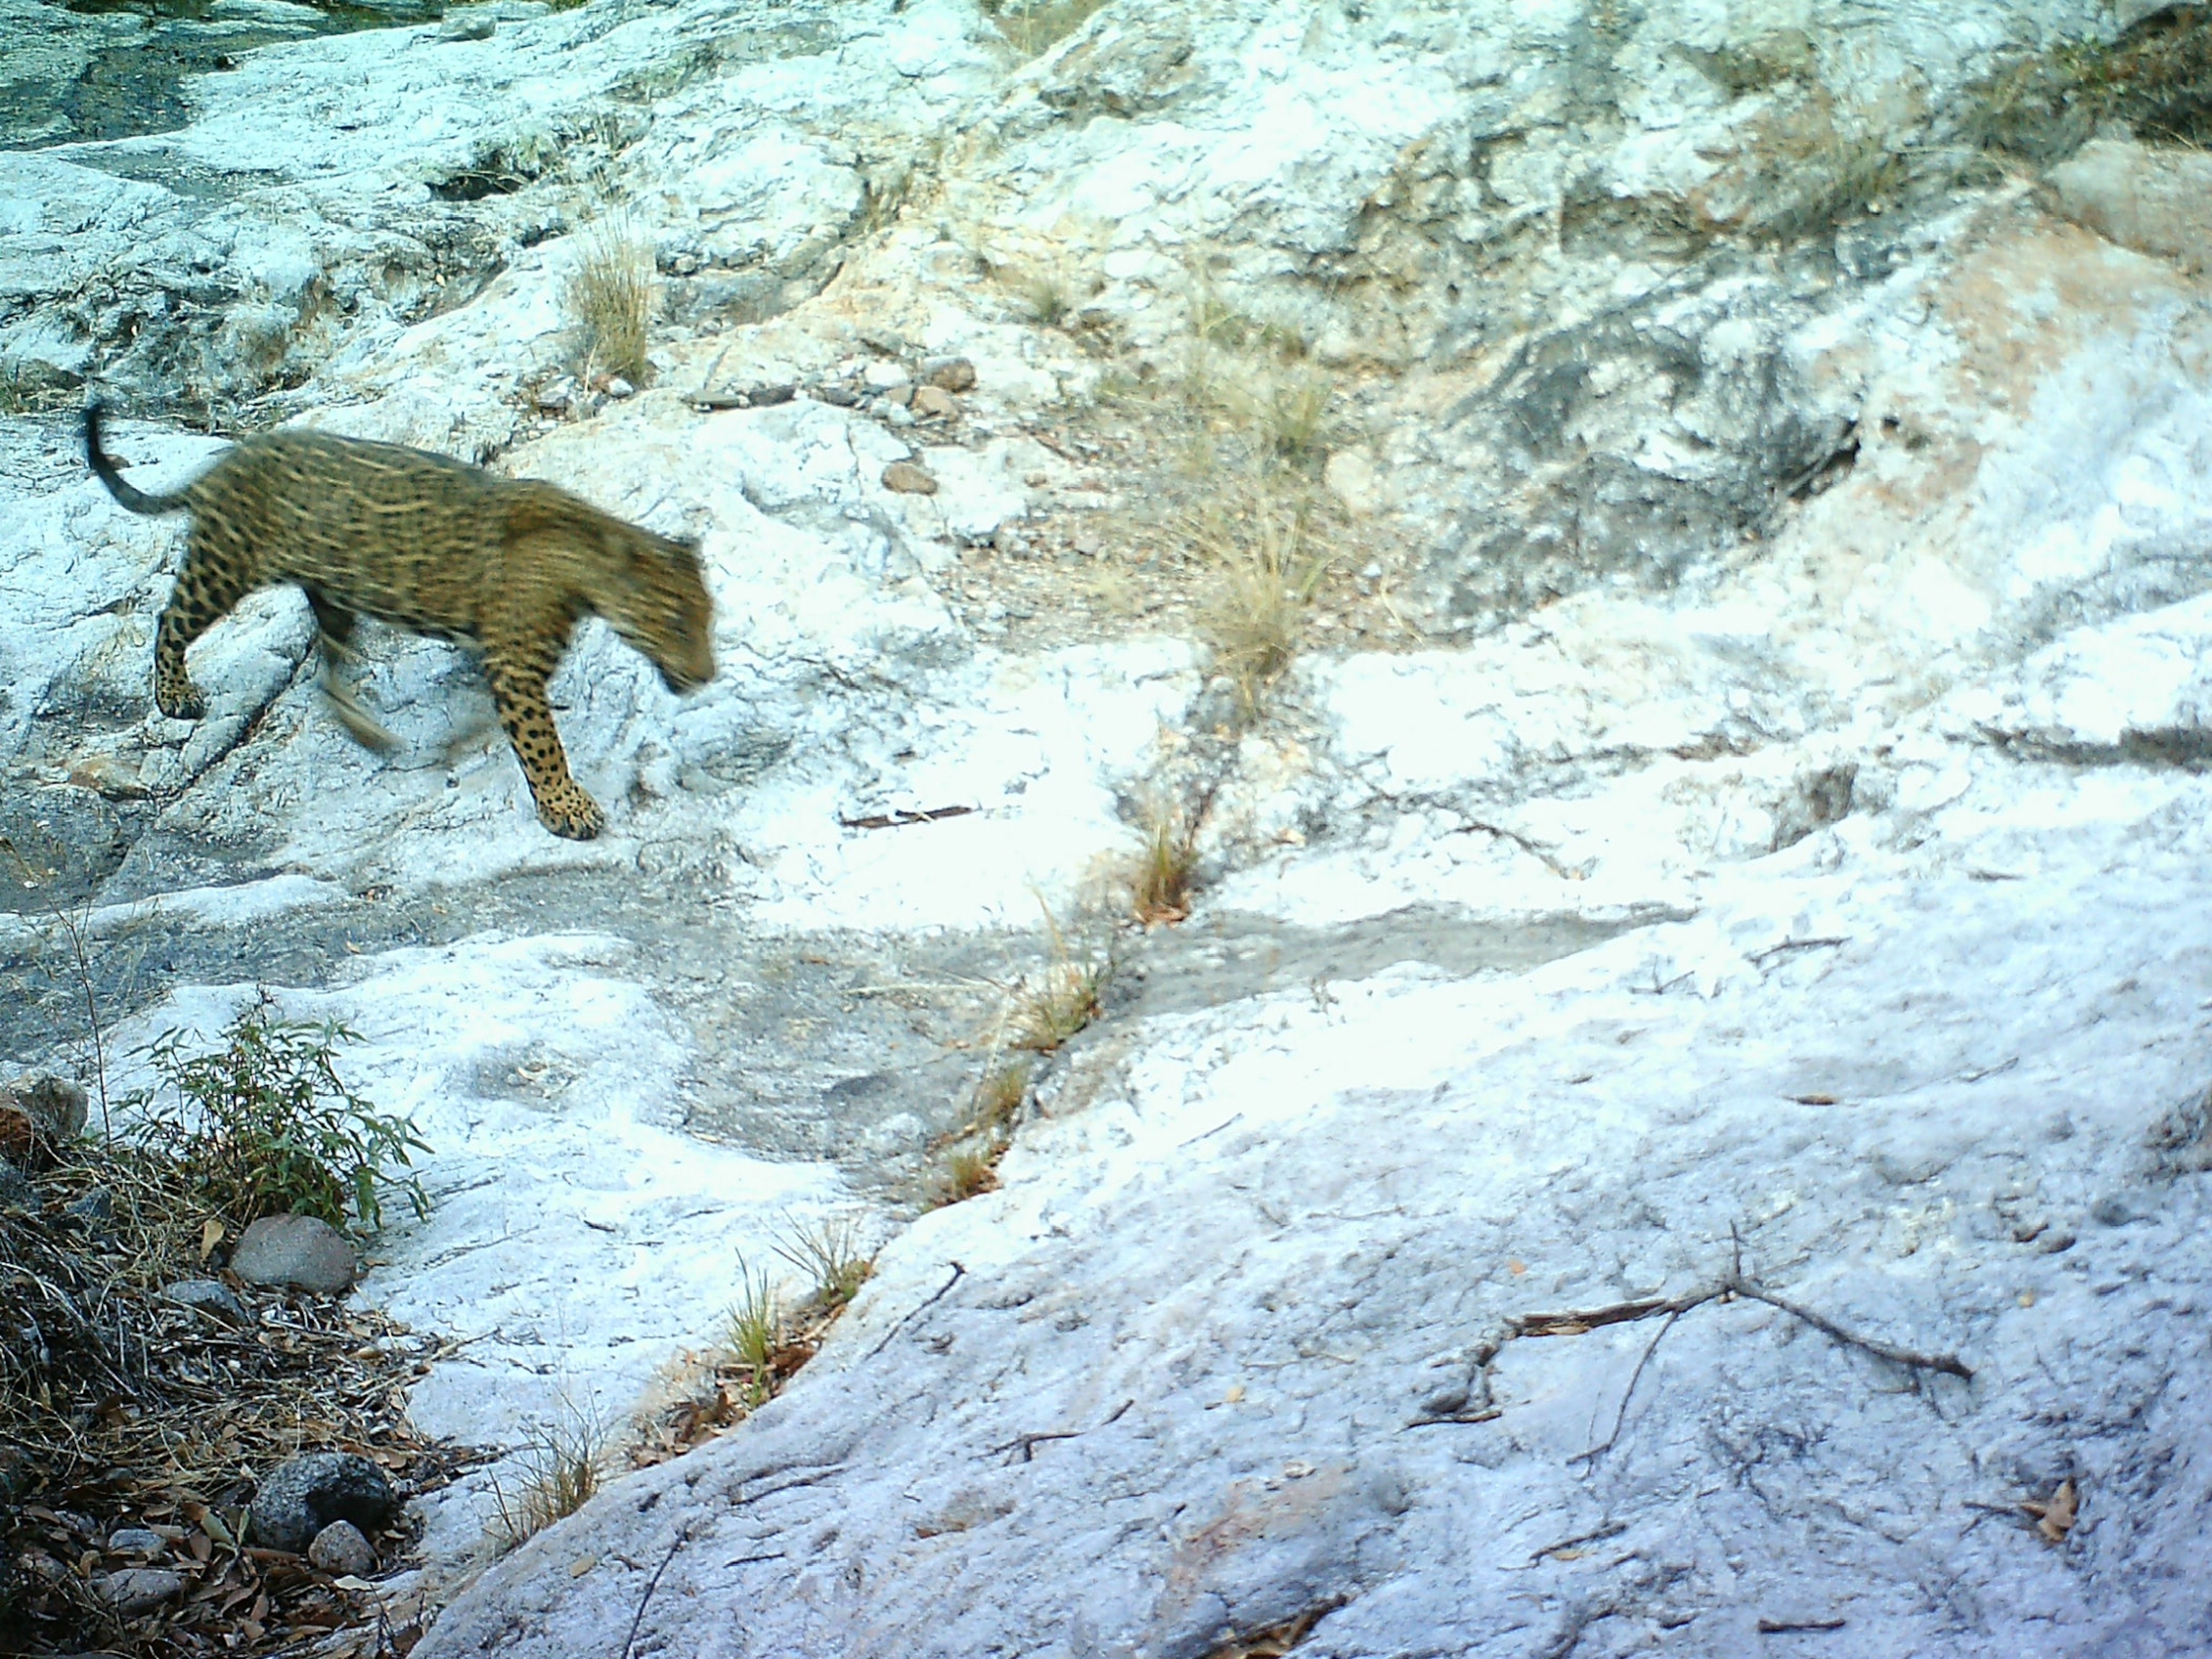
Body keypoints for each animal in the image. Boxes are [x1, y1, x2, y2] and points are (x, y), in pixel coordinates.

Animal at [85, 401, 715, 840]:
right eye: (679, 624)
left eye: (708, 620)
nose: (708, 675)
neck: (586, 563)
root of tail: (228, 457)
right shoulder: (515, 668)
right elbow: (543, 746)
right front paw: (566, 806)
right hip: (223, 565)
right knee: (171, 618)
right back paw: (175, 694)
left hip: (333, 596)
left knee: (327, 672)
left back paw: (370, 733)